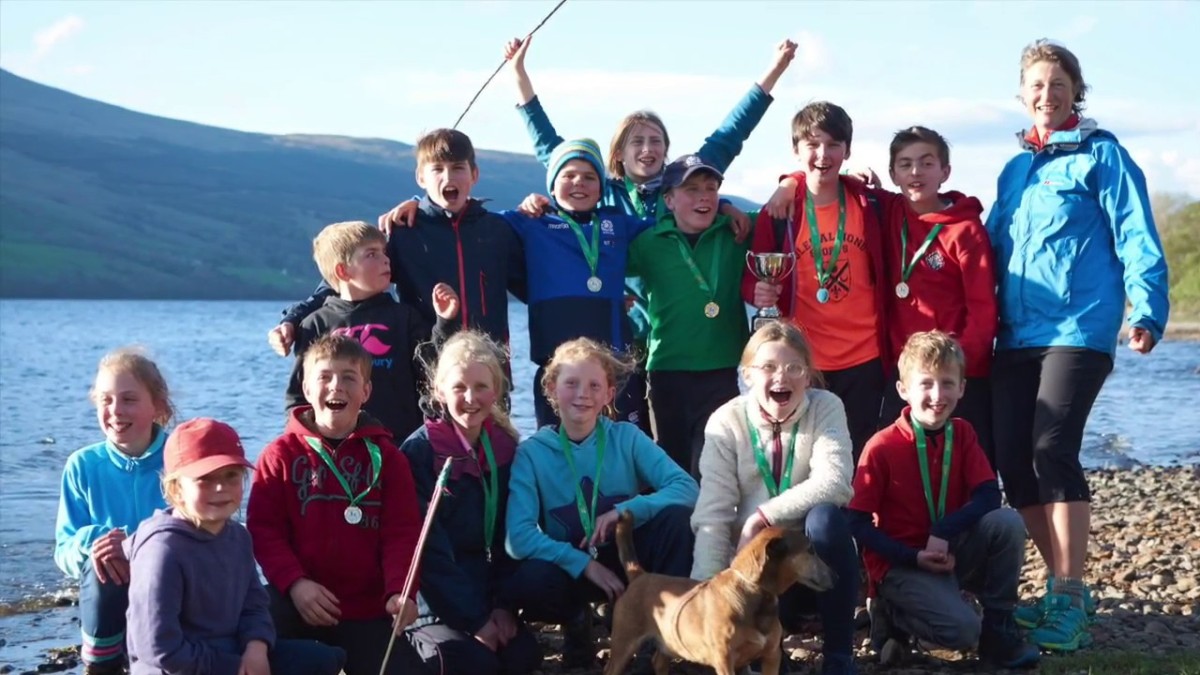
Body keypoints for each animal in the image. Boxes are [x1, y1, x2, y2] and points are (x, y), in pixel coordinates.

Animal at [604, 509, 830, 672]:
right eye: (810, 550)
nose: (835, 576)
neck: (753, 592)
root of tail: (639, 575)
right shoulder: (724, 660)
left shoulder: (771, 656)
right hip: (624, 643)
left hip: (668, 641)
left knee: (658, 661)